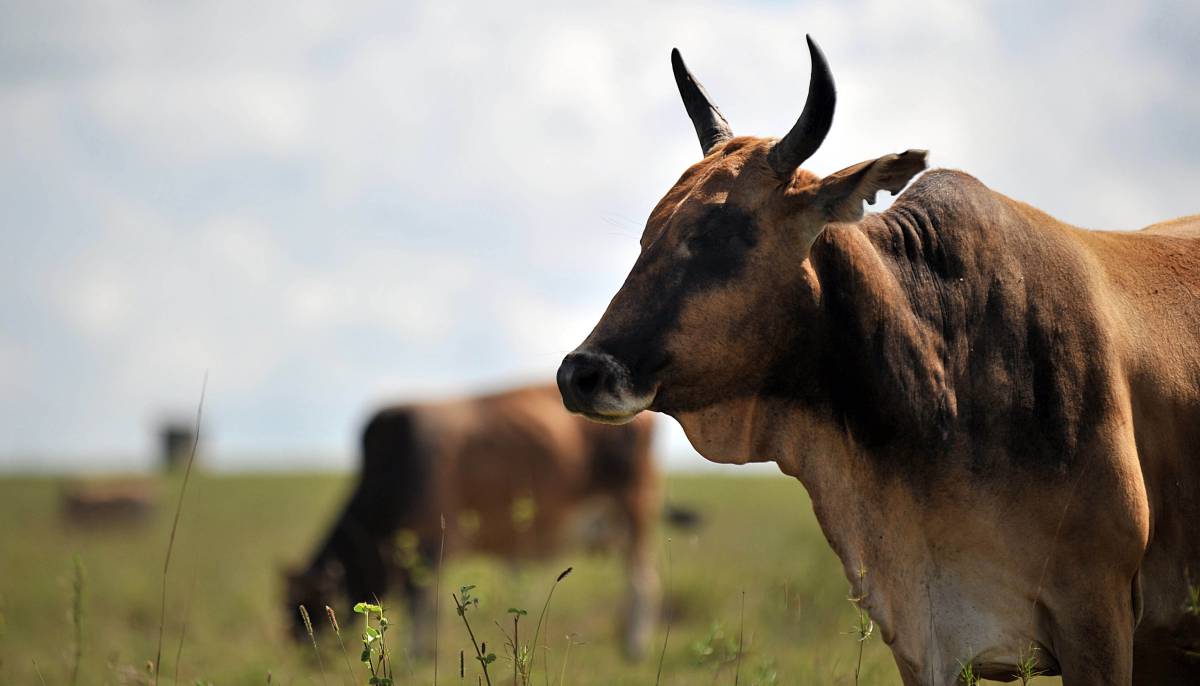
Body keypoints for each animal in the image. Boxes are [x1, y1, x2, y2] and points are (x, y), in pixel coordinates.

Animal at [283, 383, 661, 659]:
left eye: (307, 604)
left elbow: (422, 607)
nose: (303, 652)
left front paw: (418, 656)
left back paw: (635, 646)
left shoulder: (428, 546)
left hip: (635, 510)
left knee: (641, 582)